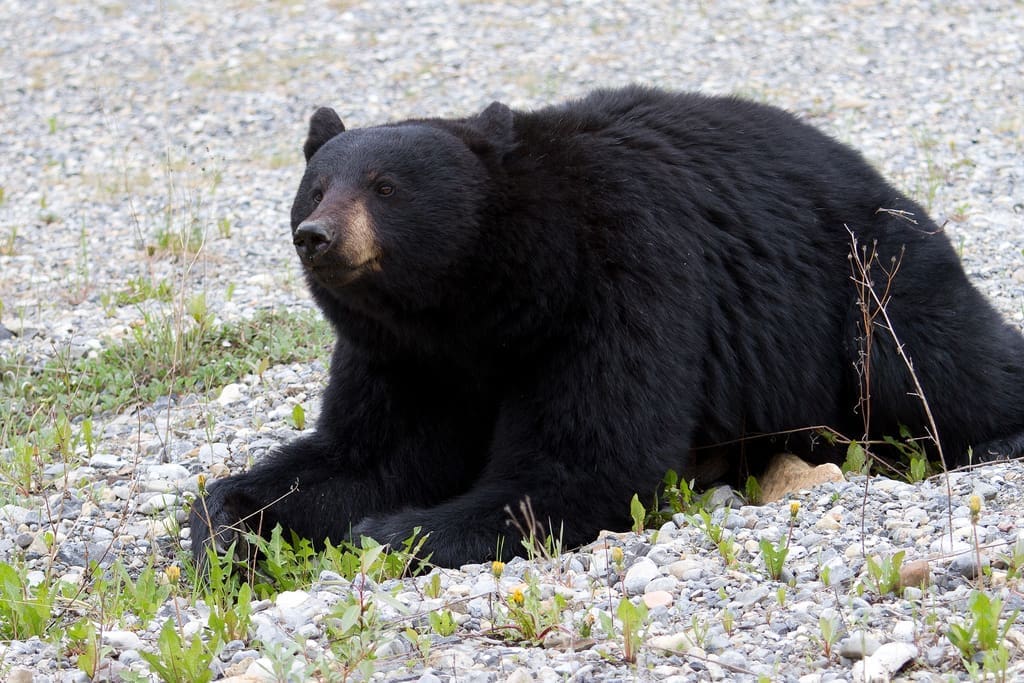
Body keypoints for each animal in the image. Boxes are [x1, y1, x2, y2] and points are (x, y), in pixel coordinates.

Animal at [189, 85, 1024, 569]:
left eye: (385, 186)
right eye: (316, 186)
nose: (318, 236)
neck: (479, 298)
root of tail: (885, 183)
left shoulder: (620, 275)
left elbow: (586, 456)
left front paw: (398, 531)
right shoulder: (402, 354)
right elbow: (368, 454)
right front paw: (228, 526)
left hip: (864, 278)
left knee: (933, 363)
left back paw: (992, 431)